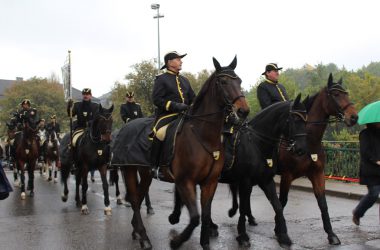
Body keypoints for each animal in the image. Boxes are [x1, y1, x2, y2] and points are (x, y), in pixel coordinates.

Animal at [119, 56, 249, 250]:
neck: (203, 135)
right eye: (223, 82)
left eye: (239, 81)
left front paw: (205, 243)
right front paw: (176, 241)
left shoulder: (209, 183)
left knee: (139, 197)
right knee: (135, 200)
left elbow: (205, 215)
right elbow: (195, 217)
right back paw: (145, 237)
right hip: (128, 169)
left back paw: (137, 232)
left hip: (146, 173)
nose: (243, 111)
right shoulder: (185, 181)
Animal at [169, 94, 308, 248]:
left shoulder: (266, 180)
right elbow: (244, 206)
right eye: (295, 119)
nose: (301, 149)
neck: (257, 144)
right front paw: (242, 235)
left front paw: (283, 235)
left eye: (306, 120)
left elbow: (277, 205)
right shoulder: (245, 181)